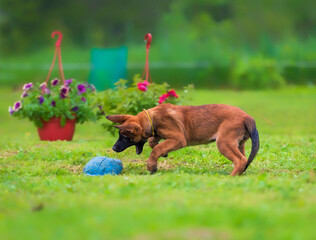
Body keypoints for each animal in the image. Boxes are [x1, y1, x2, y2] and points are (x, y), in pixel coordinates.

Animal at [106, 102, 260, 175]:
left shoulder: (179, 139)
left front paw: (152, 166)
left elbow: (156, 149)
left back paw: (231, 176)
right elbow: (153, 143)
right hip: (239, 144)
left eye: (125, 136)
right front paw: (162, 151)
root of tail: (247, 117)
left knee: (241, 160)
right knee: (244, 159)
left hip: (223, 143)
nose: (114, 148)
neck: (152, 119)